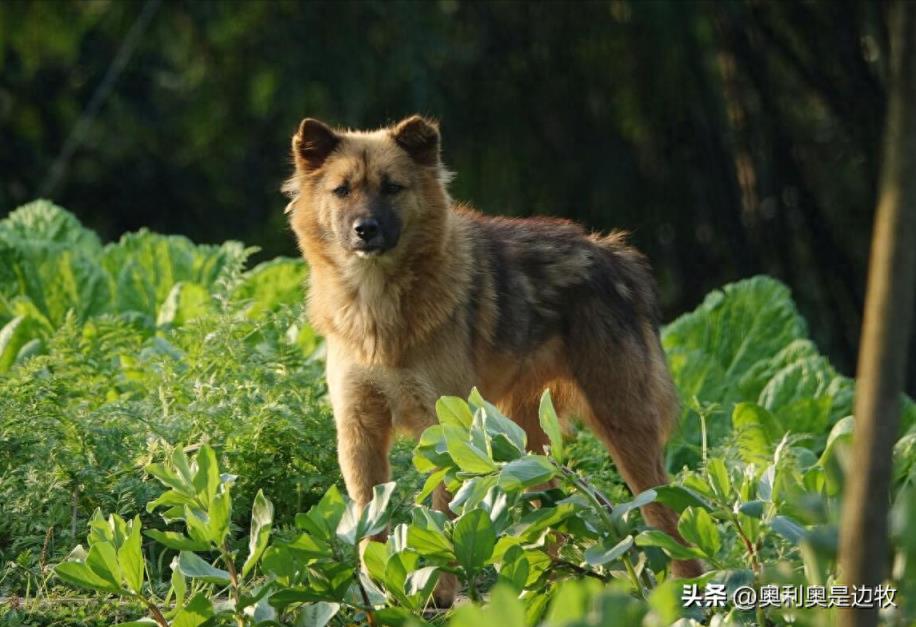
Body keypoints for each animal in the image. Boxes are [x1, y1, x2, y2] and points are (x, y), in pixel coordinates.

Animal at [282, 115, 704, 600]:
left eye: (392, 188)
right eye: (342, 190)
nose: (364, 229)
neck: (378, 308)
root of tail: (615, 253)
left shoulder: (441, 429)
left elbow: (442, 519)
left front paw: (440, 596)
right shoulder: (358, 430)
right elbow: (372, 523)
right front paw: (383, 594)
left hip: (623, 423)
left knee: (666, 517)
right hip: (527, 442)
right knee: (551, 519)